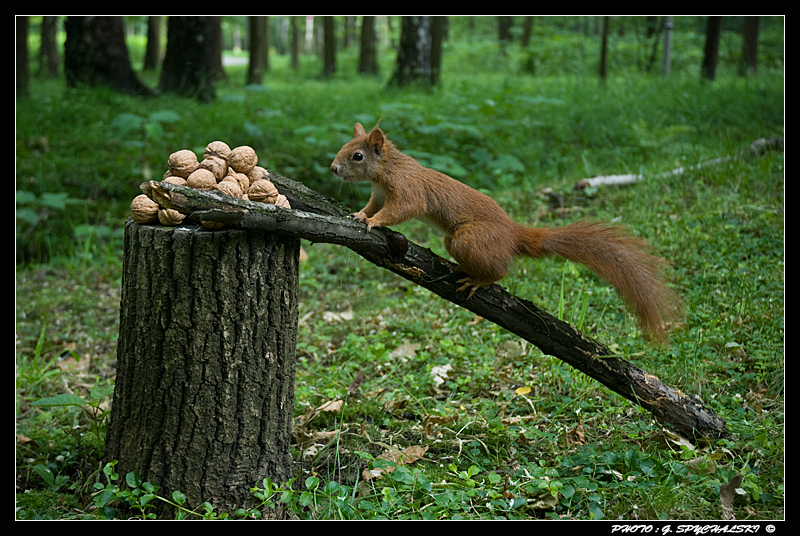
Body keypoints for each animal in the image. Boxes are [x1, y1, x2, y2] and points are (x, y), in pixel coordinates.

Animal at [330, 123, 680, 340]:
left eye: (357, 156)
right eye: (344, 146)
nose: (333, 168)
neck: (388, 169)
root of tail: (513, 234)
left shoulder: (408, 190)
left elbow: (401, 210)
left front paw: (375, 223)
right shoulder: (378, 193)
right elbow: (372, 206)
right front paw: (360, 214)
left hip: (468, 239)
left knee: (500, 271)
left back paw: (477, 279)